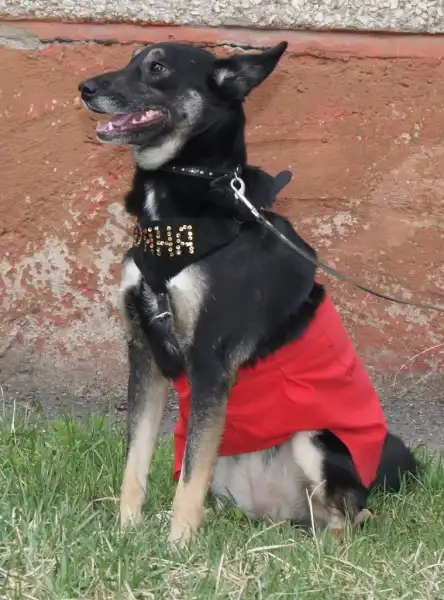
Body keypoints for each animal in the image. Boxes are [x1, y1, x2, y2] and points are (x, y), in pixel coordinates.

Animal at [79, 41, 417, 546]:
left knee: (353, 516)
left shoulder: (210, 362)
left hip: (318, 440)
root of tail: (277, 512)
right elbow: (135, 459)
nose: (85, 88)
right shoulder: (144, 352)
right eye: (130, 59)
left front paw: (177, 547)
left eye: (157, 67)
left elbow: (186, 481)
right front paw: (126, 529)